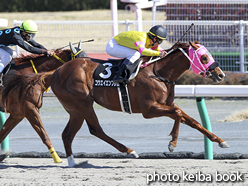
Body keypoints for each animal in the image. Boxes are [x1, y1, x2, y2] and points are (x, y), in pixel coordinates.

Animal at [50, 40, 231, 167]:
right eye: (204, 57)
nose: (221, 75)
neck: (159, 73)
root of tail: (57, 71)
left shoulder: (167, 105)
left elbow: (192, 121)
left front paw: (220, 140)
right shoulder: (149, 109)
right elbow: (179, 114)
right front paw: (172, 143)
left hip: (75, 109)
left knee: (67, 134)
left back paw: (72, 162)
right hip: (83, 103)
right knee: (96, 129)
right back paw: (129, 151)